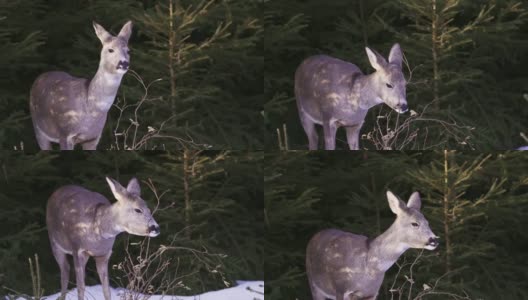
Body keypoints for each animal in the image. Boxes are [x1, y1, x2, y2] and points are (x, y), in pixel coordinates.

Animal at [30, 21, 133, 150]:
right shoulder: (65, 134)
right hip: (37, 127)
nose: (124, 63)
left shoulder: (93, 138)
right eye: (110, 50)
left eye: (128, 51)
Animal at [306, 191, 438, 298]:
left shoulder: (371, 293)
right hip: (313, 283)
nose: (434, 240)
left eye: (427, 222)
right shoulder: (341, 289)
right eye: (414, 223)